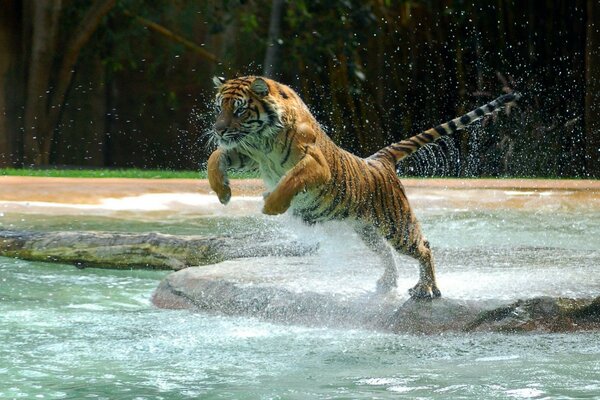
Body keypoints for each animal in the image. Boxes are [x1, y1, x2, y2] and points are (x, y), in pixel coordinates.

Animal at [207, 76, 520, 300]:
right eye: (220, 107)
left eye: (239, 109)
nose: (218, 130)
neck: (263, 139)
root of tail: (379, 160)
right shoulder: (247, 154)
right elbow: (215, 157)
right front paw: (223, 192)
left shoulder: (315, 164)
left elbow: (290, 180)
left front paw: (271, 204)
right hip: (367, 229)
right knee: (386, 253)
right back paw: (387, 283)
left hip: (397, 225)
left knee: (424, 247)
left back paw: (426, 290)